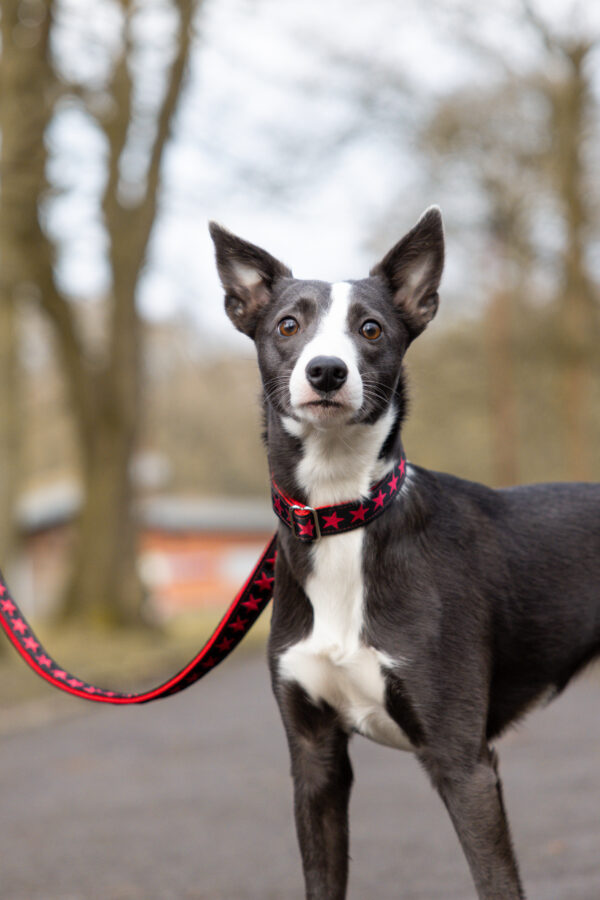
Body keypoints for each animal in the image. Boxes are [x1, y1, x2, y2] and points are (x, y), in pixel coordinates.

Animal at [209, 211, 596, 900]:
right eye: (288, 325)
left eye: (371, 329)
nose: (327, 372)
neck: (344, 516)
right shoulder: (315, 759)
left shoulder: (463, 764)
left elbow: (496, 882)